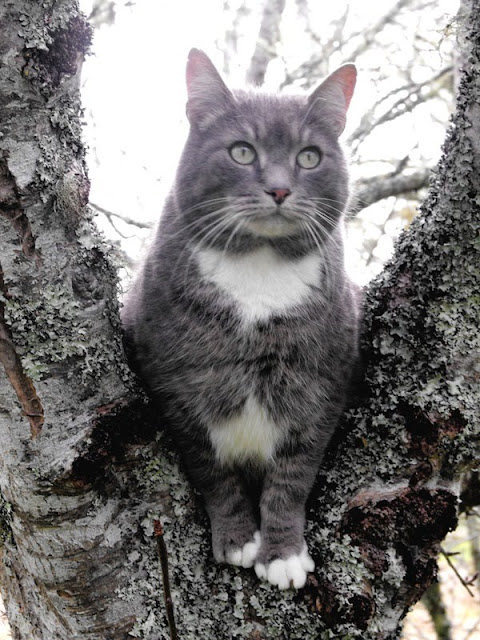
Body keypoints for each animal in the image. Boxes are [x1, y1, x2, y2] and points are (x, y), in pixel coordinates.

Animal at [122, 50, 358, 592]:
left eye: (309, 157)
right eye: (242, 152)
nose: (279, 188)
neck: (258, 268)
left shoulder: (322, 384)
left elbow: (293, 474)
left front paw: (283, 553)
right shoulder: (175, 386)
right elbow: (212, 470)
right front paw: (237, 539)